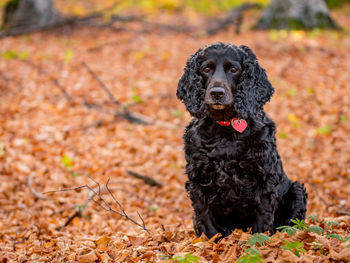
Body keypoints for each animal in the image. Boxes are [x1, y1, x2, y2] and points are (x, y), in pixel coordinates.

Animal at [178, 42, 306, 238]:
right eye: (206, 69)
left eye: (233, 69)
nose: (217, 93)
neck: (226, 128)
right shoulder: (198, 179)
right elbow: (207, 222)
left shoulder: (264, 178)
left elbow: (262, 220)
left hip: (297, 191)